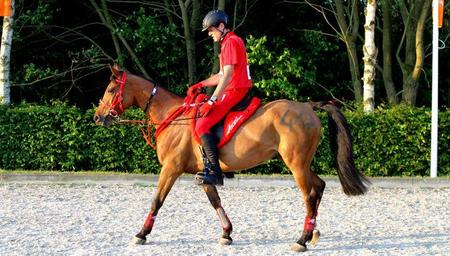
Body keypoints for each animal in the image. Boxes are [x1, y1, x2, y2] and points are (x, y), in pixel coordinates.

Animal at [92, 64, 370, 252]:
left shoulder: (171, 168)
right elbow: (215, 200)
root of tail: (307, 106)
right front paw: (226, 233)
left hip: (296, 164)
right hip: (302, 163)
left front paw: (141, 233)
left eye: (111, 89)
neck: (174, 116)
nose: (97, 117)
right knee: (319, 186)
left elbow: (156, 201)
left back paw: (301, 239)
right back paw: (312, 233)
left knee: (309, 195)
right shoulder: (203, 173)